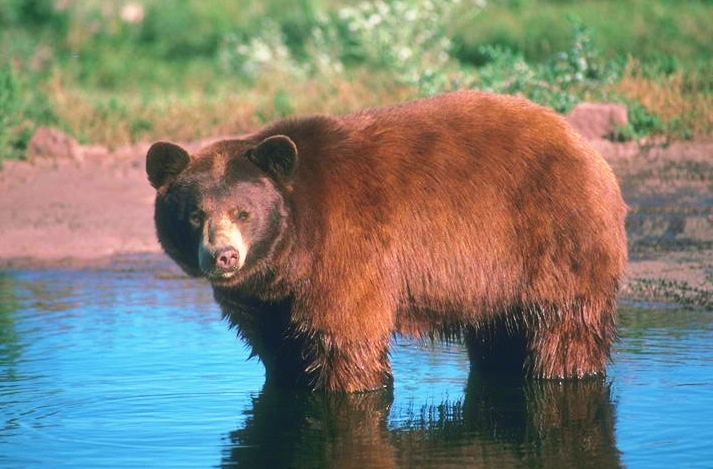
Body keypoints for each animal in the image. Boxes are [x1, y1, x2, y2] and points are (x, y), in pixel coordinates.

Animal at [145, 90, 624, 392]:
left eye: (243, 213)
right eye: (195, 214)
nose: (223, 256)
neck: (293, 250)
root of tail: (583, 145)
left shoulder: (345, 251)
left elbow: (345, 335)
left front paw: (349, 383)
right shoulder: (265, 296)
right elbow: (276, 345)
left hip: (554, 239)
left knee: (564, 326)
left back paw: (564, 371)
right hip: (495, 281)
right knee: (500, 332)